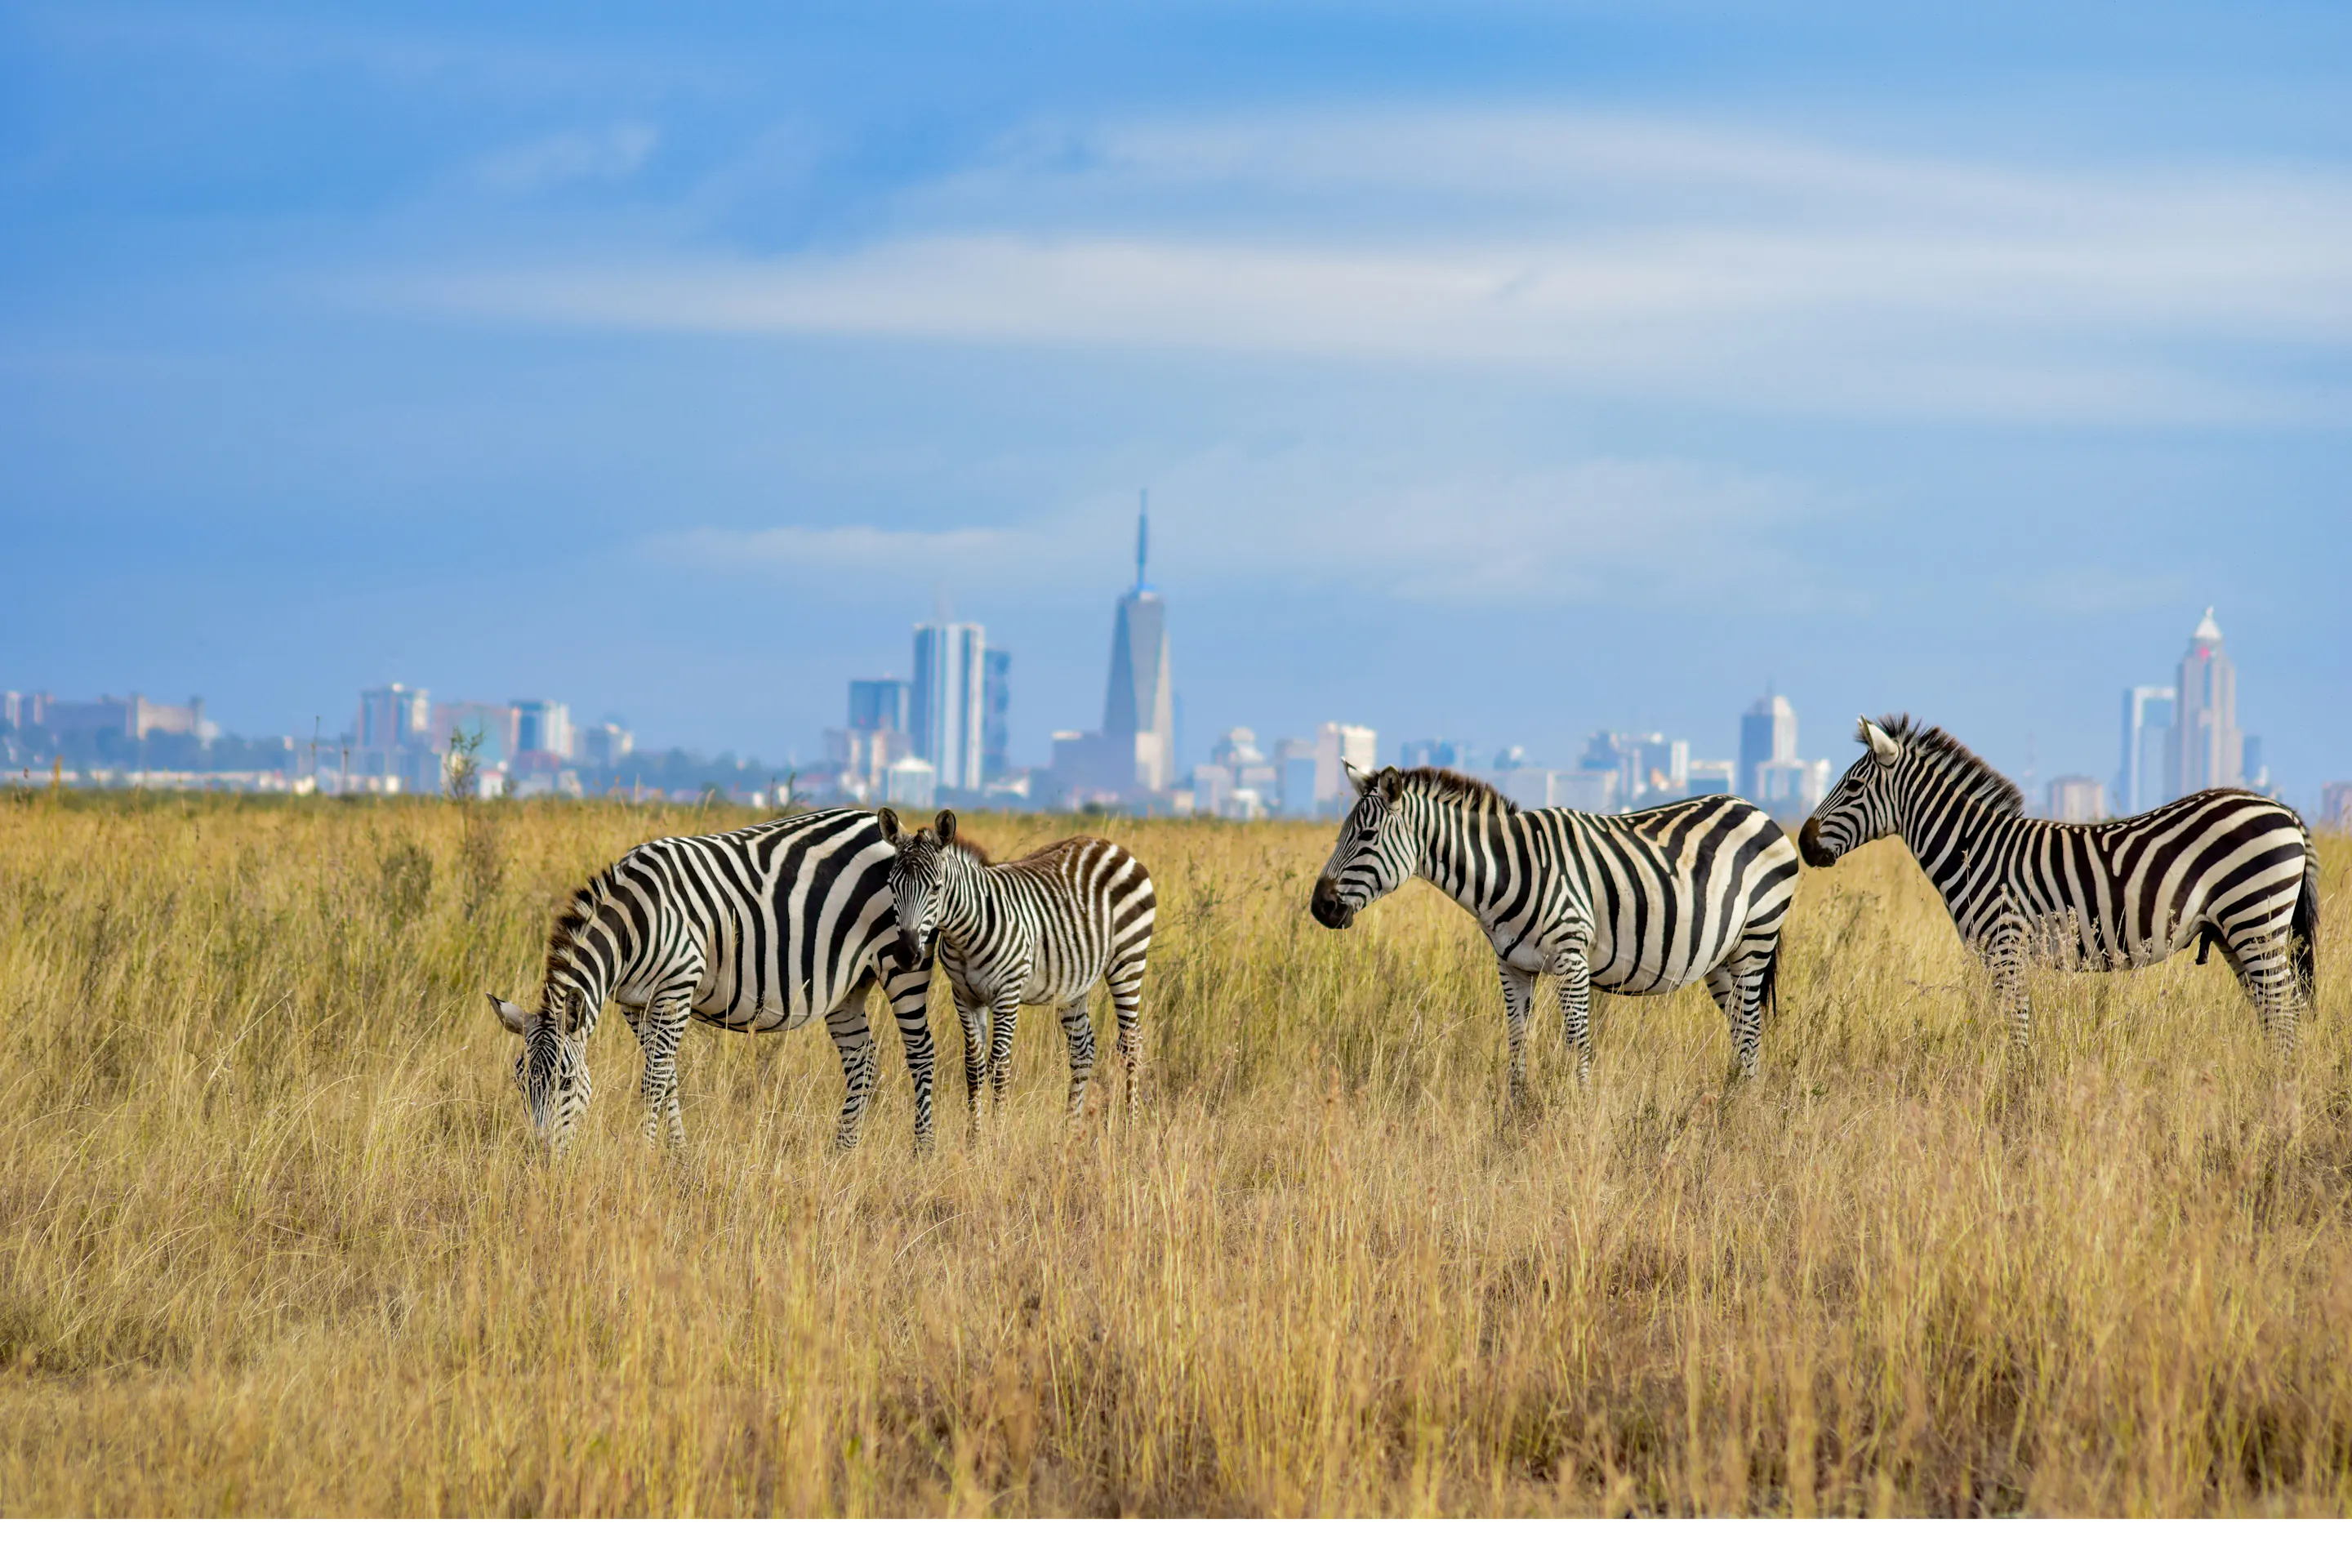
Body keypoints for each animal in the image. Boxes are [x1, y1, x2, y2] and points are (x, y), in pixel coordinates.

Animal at [486, 807, 938, 1155]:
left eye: (565, 1081)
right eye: (521, 1083)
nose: (542, 1156)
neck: (633, 924)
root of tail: (879, 825)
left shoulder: (677, 987)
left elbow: (654, 1080)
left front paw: (645, 1155)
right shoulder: (634, 1003)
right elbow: (667, 1078)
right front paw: (678, 1154)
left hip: (902, 961)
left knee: (921, 1053)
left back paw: (923, 1153)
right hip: (849, 983)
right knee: (862, 1058)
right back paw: (843, 1151)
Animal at [878, 808, 1155, 1128]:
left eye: (936, 888)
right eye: (891, 886)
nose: (906, 954)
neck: (964, 933)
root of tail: (1110, 845)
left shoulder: (1006, 995)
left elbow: (999, 1068)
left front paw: (996, 1136)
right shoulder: (964, 997)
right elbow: (973, 1067)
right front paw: (974, 1136)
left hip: (1128, 961)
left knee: (1132, 1043)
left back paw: (1130, 1126)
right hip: (1075, 982)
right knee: (1082, 1049)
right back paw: (1070, 1128)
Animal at [1310, 763, 1802, 1085]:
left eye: (1367, 836)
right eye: (1340, 833)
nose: (1319, 907)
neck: (1507, 870)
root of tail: (1756, 809)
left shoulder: (1572, 959)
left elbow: (1578, 1045)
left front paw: (1579, 1121)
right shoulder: (1511, 966)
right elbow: (1516, 1044)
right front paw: (1514, 1120)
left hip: (1756, 938)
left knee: (1751, 1032)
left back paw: (1741, 1112)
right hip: (1722, 958)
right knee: (1741, 1031)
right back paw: (1732, 1102)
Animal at [1800, 715, 2320, 1052]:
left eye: (1852, 787)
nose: (1804, 843)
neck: (1974, 850)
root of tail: (2285, 811)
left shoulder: (2006, 948)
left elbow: (2017, 1029)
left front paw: (2015, 1092)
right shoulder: (1996, 955)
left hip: (2254, 918)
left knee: (2284, 1011)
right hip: (2236, 931)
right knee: (2274, 1011)